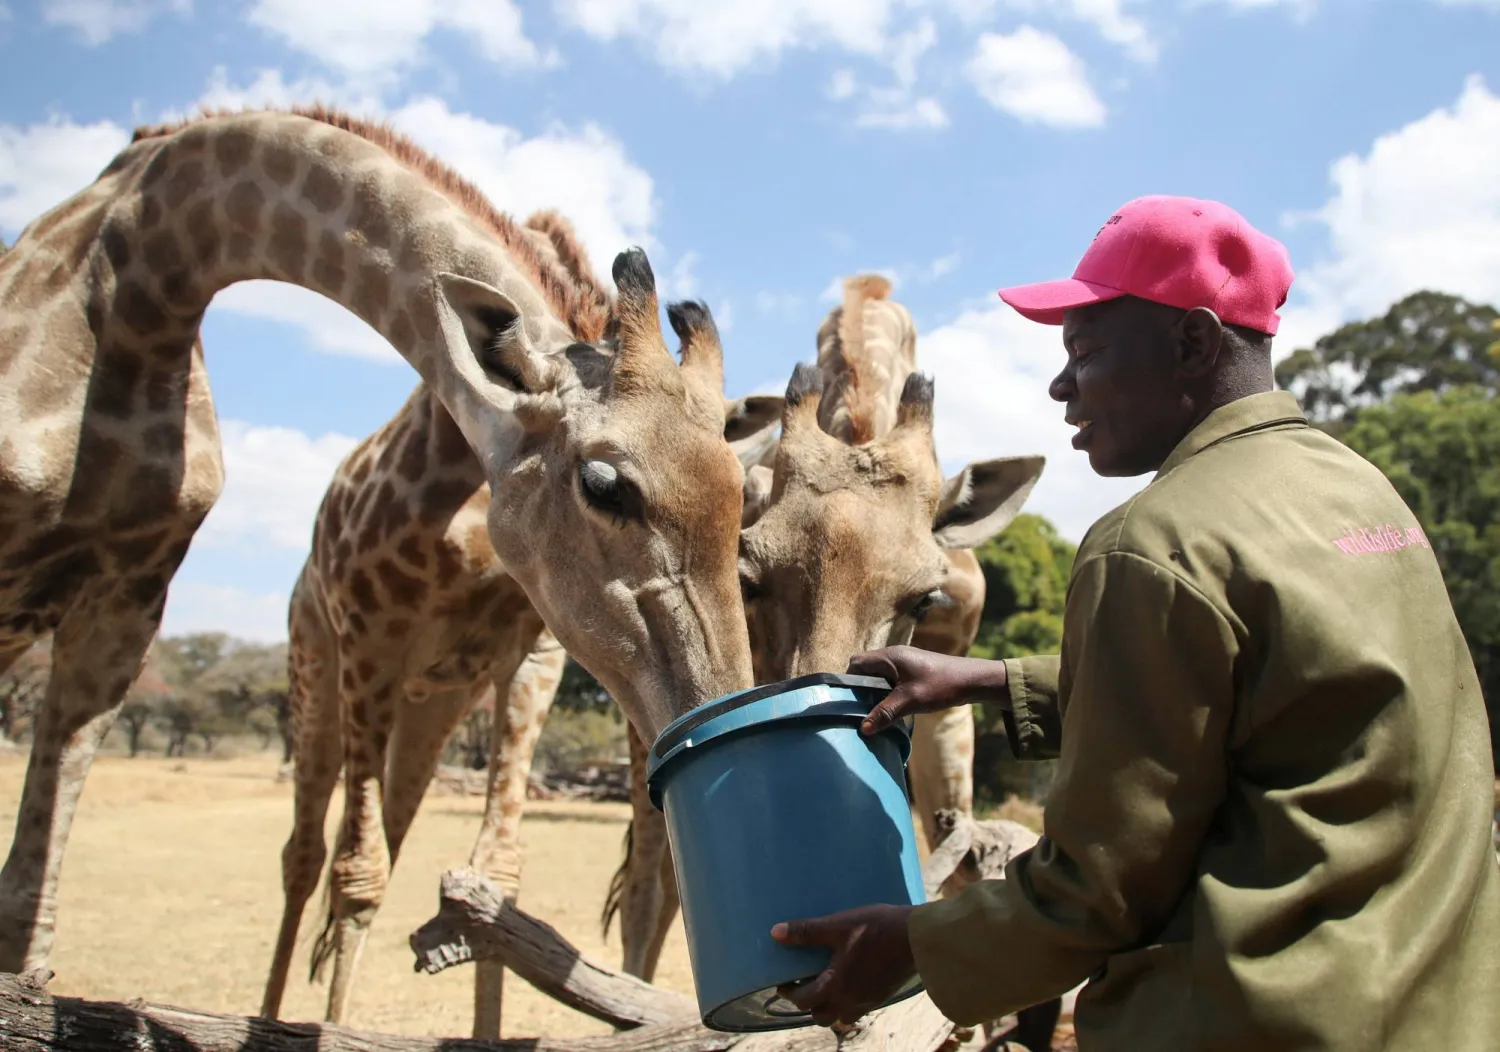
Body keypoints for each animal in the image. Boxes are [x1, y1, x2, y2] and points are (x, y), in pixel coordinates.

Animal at [262, 208, 782, 1034]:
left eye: (739, 496)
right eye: (603, 484)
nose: (720, 716)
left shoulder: (530, 654)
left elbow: (494, 876)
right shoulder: (370, 637)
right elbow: (355, 872)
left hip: (433, 704)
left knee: (392, 829)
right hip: (316, 669)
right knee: (306, 852)